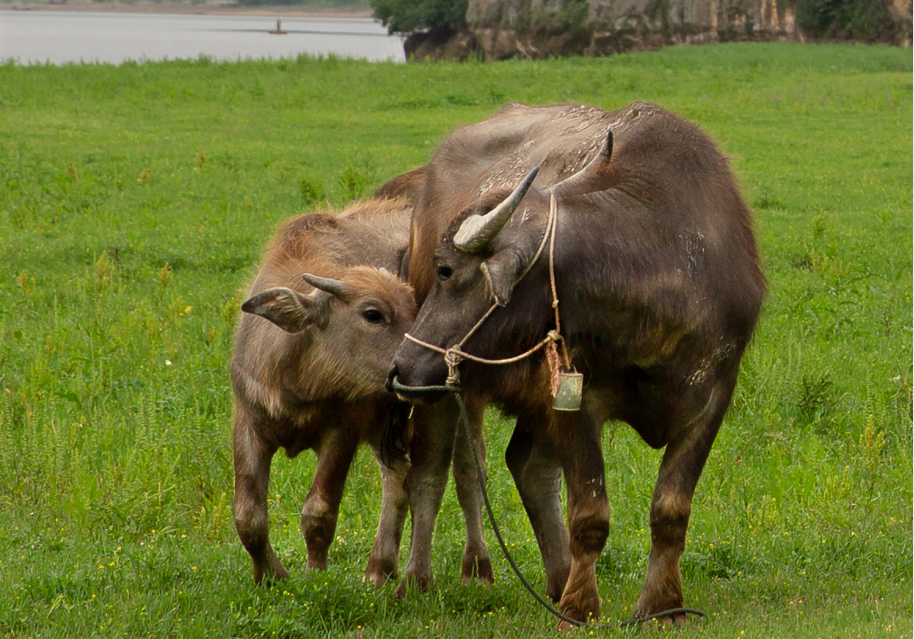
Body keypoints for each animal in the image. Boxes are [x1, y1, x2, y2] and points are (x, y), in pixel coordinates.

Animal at [388, 102, 764, 628]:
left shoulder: (711, 400)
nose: (399, 365)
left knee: (528, 466)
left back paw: (557, 575)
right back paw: (416, 580)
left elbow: (671, 510)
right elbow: (590, 512)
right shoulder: (574, 401)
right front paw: (580, 605)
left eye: (449, 270)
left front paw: (662, 605)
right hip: (439, 387)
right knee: (430, 471)